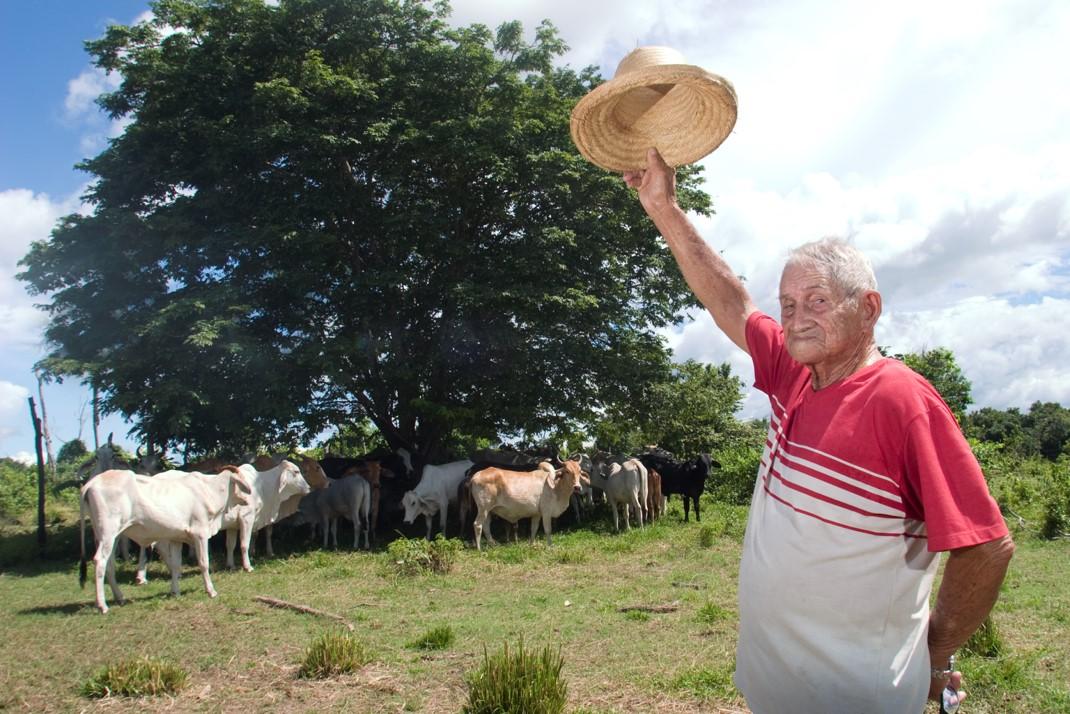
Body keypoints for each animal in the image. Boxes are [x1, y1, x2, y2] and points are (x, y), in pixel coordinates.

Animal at [79, 466, 250, 612]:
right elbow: (204, 563)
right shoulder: (200, 534)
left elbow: (175, 565)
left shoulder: (176, 538)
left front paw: (175, 591)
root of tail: (91, 483)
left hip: (113, 536)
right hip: (108, 533)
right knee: (100, 561)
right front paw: (211, 591)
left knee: (110, 564)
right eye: (242, 482)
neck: (209, 490)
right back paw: (102, 605)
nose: (250, 497)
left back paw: (120, 597)